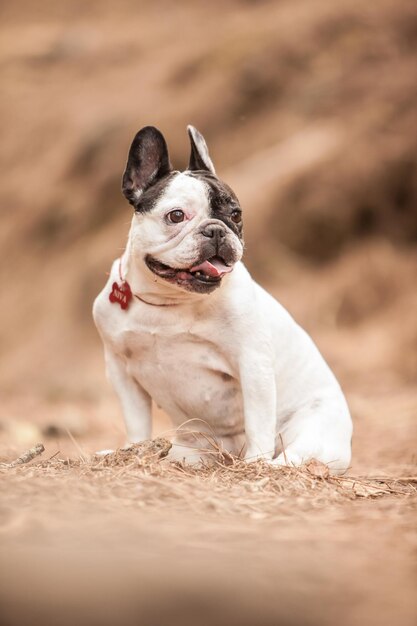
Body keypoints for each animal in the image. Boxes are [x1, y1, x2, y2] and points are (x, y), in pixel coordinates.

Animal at [92, 124, 352, 470]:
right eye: (176, 216)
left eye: (236, 214)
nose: (216, 230)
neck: (169, 301)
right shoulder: (120, 371)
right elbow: (136, 422)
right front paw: (134, 450)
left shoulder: (253, 364)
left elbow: (258, 421)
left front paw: (255, 463)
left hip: (312, 430)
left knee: (293, 455)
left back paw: (265, 464)